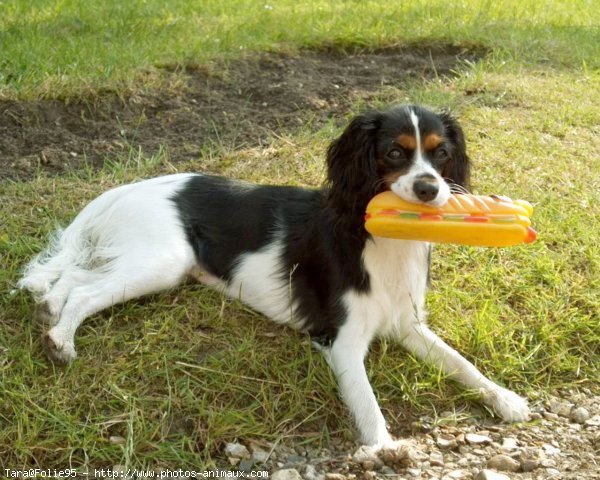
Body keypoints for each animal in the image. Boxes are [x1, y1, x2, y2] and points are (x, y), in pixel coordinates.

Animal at [19, 104, 528, 446]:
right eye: (393, 153)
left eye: (441, 154)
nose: (429, 188)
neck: (375, 238)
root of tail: (125, 189)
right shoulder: (338, 339)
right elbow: (366, 399)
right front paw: (384, 448)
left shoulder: (406, 325)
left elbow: (462, 363)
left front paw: (505, 398)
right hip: (162, 261)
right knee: (82, 292)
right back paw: (60, 340)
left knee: (70, 282)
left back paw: (49, 314)